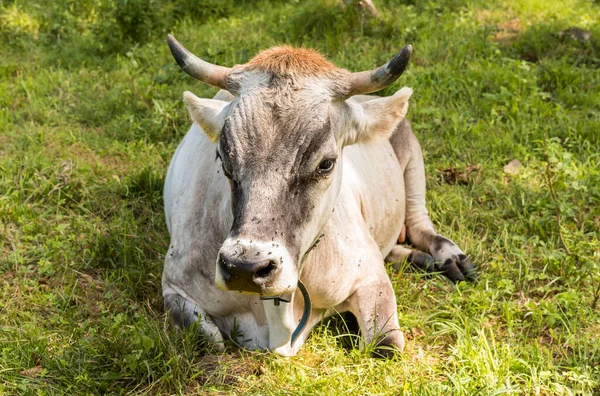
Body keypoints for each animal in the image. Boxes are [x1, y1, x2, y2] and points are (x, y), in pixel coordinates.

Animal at [162, 35, 476, 358]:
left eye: (326, 163)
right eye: (223, 159)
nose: (245, 268)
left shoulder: (371, 277)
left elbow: (385, 345)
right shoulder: (174, 288)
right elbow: (209, 341)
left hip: (411, 153)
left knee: (419, 221)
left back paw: (448, 257)